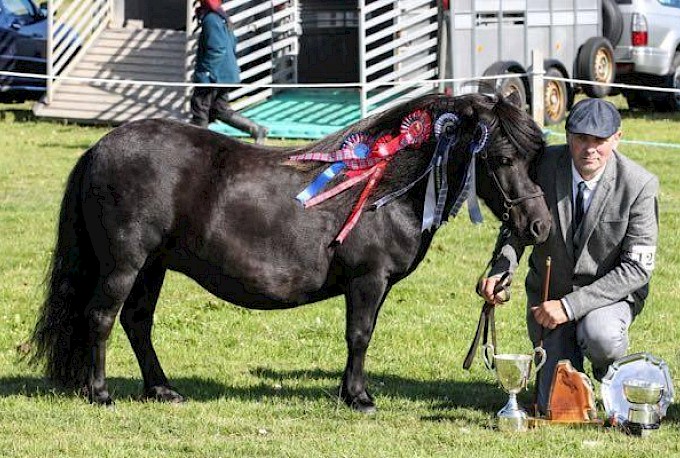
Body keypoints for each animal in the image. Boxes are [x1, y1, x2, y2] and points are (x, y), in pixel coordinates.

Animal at [30, 93, 552, 412]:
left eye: (534, 158)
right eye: (503, 158)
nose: (539, 226)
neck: (386, 186)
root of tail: (99, 146)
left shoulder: (376, 285)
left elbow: (361, 337)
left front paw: (349, 391)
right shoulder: (368, 280)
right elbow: (359, 335)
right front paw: (358, 398)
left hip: (151, 267)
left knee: (137, 323)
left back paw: (162, 389)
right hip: (125, 263)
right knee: (101, 317)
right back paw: (100, 392)